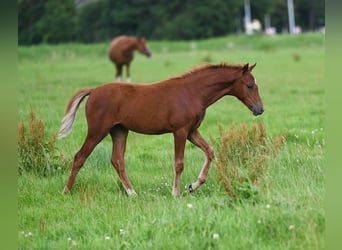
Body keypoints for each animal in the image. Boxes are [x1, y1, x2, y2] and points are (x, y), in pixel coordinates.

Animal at [58, 62, 264, 197]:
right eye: (249, 86)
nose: (260, 109)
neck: (193, 93)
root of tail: (93, 91)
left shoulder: (191, 131)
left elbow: (210, 151)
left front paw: (193, 185)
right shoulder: (180, 131)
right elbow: (179, 163)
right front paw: (176, 193)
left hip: (119, 131)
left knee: (117, 160)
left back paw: (132, 193)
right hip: (97, 131)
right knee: (80, 157)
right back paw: (66, 191)